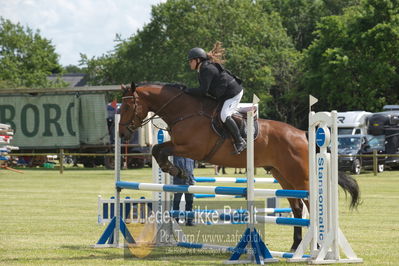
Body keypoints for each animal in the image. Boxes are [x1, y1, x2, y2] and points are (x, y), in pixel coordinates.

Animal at [117, 81, 360, 251]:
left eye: (128, 106)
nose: (121, 134)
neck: (185, 111)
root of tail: (302, 133)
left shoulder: (191, 149)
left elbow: (160, 150)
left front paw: (175, 170)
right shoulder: (180, 146)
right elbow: (158, 150)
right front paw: (175, 170)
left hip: (300, 176)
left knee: (310, 203)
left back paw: (317, 245)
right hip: (283, 175)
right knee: (297, 207)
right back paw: (295, 245)